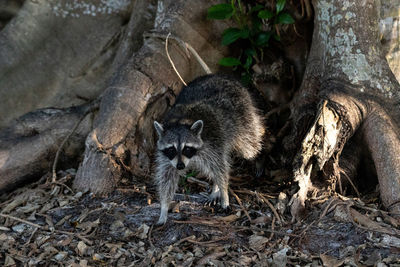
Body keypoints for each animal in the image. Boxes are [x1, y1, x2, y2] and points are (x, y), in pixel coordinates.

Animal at [155, 74, 264, 225]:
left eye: (187, 148)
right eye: (171, 149)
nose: (181, 166)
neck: (180, 122)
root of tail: (221, 76)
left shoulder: (212, 143)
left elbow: (220, 169)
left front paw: (224, 193)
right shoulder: (168, 158)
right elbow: (167, 178)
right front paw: (164, 208)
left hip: (243, 117)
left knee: (249, 146)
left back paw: (257, 158)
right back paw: (215, 189)